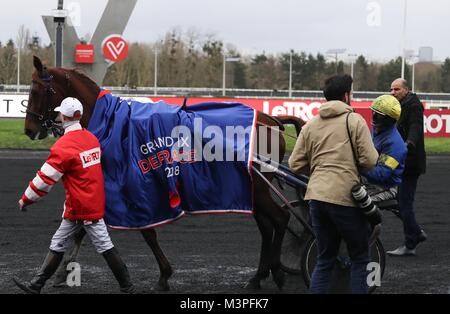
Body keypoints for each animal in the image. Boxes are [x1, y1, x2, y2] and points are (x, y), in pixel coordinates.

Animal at [25, 55, 306, 292]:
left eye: (37, 90)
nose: (29, 129)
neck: (111, 124)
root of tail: (270, 120)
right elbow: (83, 226)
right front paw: (62, 271)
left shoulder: (135, 184)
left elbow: (146, 232)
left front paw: (164, 275)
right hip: (254, 187)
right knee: (267, 226)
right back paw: (259, 276)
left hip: (258, 186)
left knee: (280, 219)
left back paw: (278, 272)